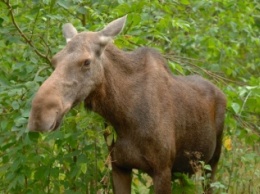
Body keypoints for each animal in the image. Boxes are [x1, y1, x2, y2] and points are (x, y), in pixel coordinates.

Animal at [28, 15, 226, 193]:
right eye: (54, 60)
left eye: (86, 61)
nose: (39, 116)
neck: (123, 116)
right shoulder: (120, 167)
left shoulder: (162, 170)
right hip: (185, 169)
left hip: (212, 163)